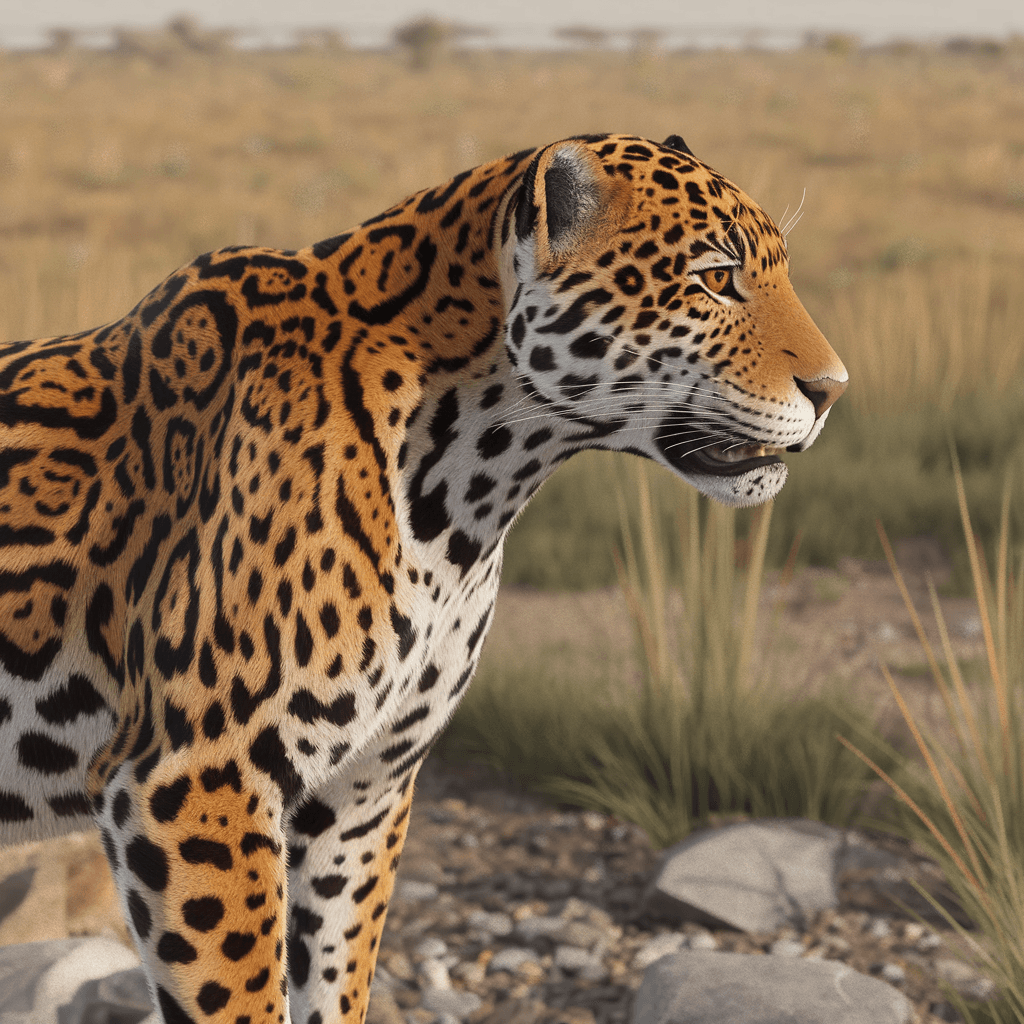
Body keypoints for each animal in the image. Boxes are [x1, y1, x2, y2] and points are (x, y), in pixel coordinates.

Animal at [0, 133, 846, 1024]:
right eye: (713, 278)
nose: (833, 390)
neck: (466, 496)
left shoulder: (363, 794)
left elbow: (334, 973)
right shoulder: (192, 778)